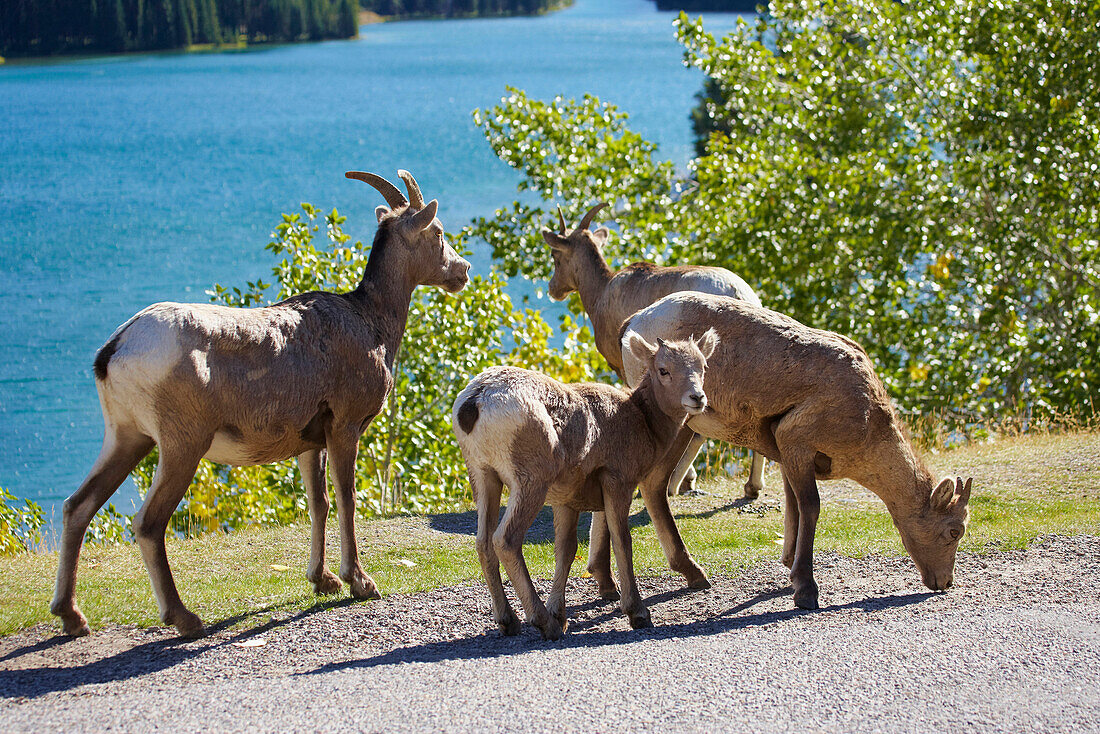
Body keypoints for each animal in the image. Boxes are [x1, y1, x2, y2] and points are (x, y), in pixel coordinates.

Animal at [49, 170, 470, 638]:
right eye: (438, 232)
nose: (463, 271)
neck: (370, 322)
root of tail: (116, 349)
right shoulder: (344, 427)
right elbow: (346, 499)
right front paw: (360, 583)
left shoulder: (310, 442)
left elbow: (319, 503)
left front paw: (322, 580)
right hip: (181, 445)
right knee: (147, 523)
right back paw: (184, 619)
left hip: (126, 437)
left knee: (77, 506)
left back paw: (72, 617)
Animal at [451, 330, 717, 638]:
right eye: (664, 369)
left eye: (703, 367)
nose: (697, 398)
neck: (641, 420)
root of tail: (476, 401)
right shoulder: (618, 482)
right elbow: (622, 541)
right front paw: (637, 614)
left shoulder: (567, 501)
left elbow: (565, 551)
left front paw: (561, 613)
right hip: (530, 483)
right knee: (505, 541)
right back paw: (544, 623)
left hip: (484, 477)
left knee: (483, 543)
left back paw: (510, 621)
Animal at [541, 201, 765, 499]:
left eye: (555, 255)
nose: (553, 289)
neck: (602, 292)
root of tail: (739, 294)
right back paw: (751, 487)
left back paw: (677, 483)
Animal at [607, 290, 976, 607]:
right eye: (954, 530)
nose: (944, 582)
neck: (867, 421)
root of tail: (634, 324)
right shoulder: (796, 440)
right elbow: (810, 506)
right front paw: (805, 590)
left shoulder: (786, 451)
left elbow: (793, 506)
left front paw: (789, 568)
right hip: (679, 422)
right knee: (653, 484)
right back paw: (692, 571)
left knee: (654, 486)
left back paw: (693, 575)